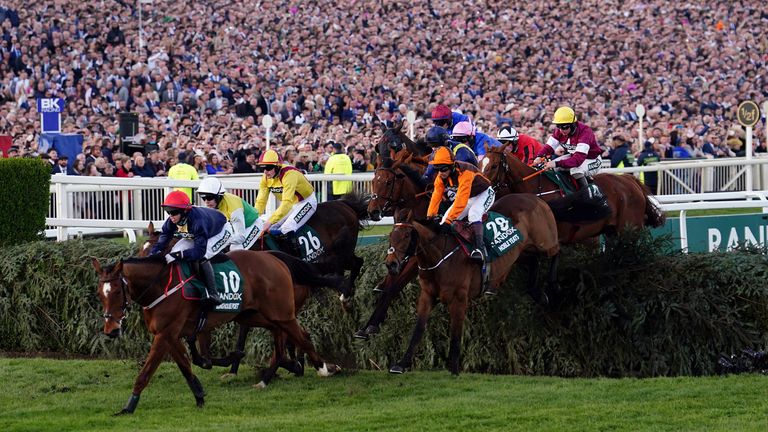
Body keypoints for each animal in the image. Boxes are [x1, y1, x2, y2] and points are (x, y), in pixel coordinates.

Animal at [92, 251, 340, 414]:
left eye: (117, 292)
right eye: (99, 293)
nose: (111, 330)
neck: (161, 286)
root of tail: (275, 258)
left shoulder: (165, 334)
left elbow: (145, 373)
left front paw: (128, 407)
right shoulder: (170, 335)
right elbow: (186, 366)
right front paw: (200, 396)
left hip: (280, 313)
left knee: (302, 337)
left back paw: (324, 368)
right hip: (254, 315)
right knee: (282, 340)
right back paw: (266, 379)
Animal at [390, 192, 560, 374]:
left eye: (406, 236)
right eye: (391, 236)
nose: (390, 264)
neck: (440, 255)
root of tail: (534, 197)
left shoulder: (459, 299)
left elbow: (456, 334)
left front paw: (454, 369)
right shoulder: (427, 295)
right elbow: (418, 329)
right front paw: (401, 364)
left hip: (545, 240)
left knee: (556, 250)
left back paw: (552, 285)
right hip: (518, 253)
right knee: (534, 260)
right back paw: (536, 293)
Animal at [484, 143, 664, 241]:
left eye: (493, 165)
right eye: (480, 162)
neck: (537, 188)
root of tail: (631, 180)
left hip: (630, 229)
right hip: (612, 231)